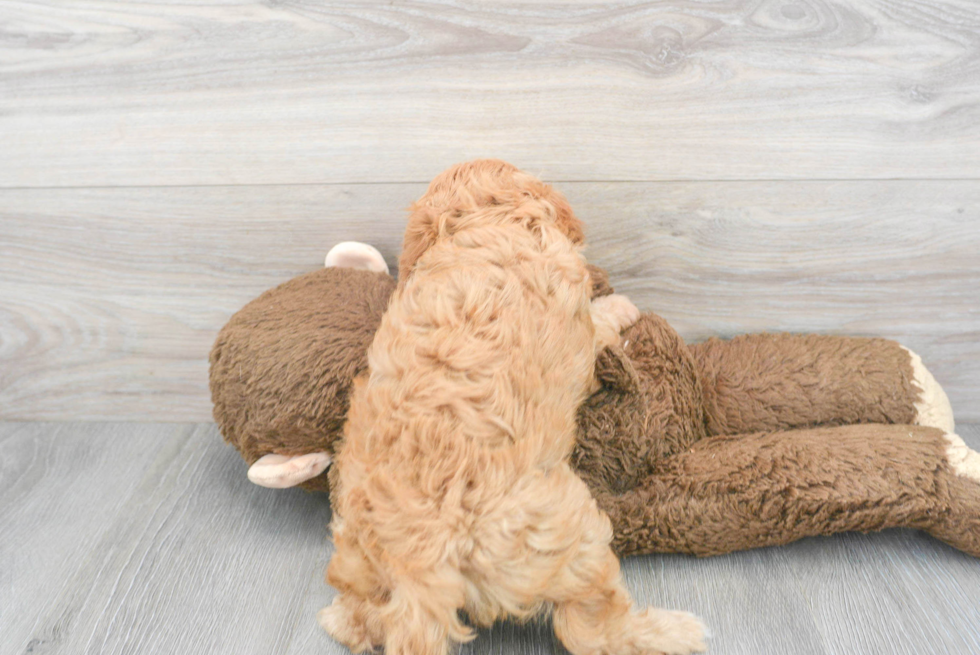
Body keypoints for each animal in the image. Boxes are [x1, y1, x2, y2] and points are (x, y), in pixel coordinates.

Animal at [320, 160, 704, 655]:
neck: (486, 219)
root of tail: (418, 564)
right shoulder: (580, 328)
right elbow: (600, 323)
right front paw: (620, 306)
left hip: (357, 550)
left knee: (362, 612)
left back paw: (342, 617)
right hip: (568, 539)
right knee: (590, 628)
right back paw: (672, 630)